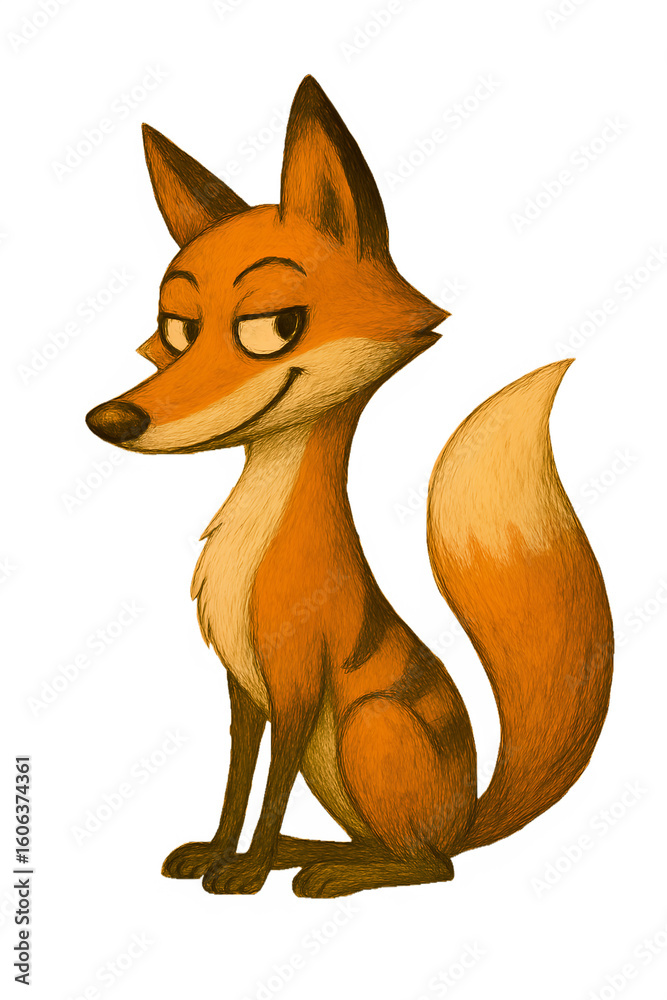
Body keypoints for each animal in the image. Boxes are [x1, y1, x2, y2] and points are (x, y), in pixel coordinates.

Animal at [85, 75, 613, 897]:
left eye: (273, 326)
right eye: (175, 332)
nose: (110, 418)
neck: (254, 544)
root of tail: (466, 814)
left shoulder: (301, 681)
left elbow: (267, 786)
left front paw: (246, 870)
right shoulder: (245, 690)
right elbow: (238, 777)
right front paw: (221, 851)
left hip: (370, 723)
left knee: (431, 867)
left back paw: (332, 872)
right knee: (388, 845)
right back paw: (315, 852)